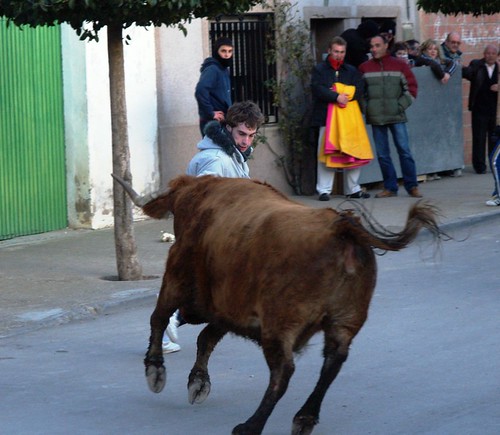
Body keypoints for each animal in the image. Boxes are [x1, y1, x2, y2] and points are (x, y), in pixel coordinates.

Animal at [112, 175, 442, 435]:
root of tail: (341, 228)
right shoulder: (229, 309)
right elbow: (206, 338)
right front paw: (198, 383)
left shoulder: (178, 278)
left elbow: (160, 318)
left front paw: (155, 371)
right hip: (345, 320)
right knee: (333, 361)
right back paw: (304, 418)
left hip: (280, 324)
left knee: (283, 371)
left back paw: (250, 426)